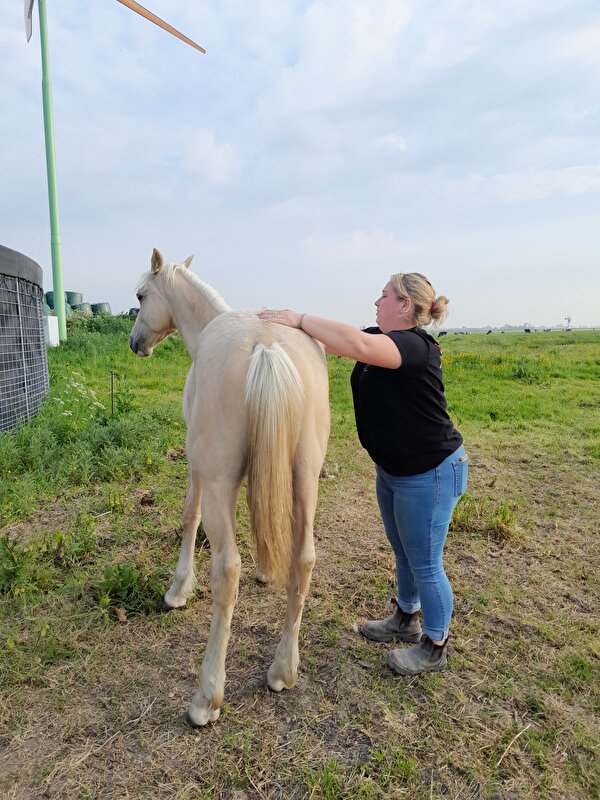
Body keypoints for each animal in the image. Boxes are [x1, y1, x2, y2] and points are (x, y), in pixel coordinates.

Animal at [129, 249, 330, 726]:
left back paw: (207, 697)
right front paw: (267, 569)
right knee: (304, 560)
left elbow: (190, 515)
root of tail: (266, 345)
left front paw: (178, 590)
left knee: (227, 571)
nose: (135, 342)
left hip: (220, 480)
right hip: (304, 480)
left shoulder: (199, 468)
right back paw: (282, 671)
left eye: (142, 295)